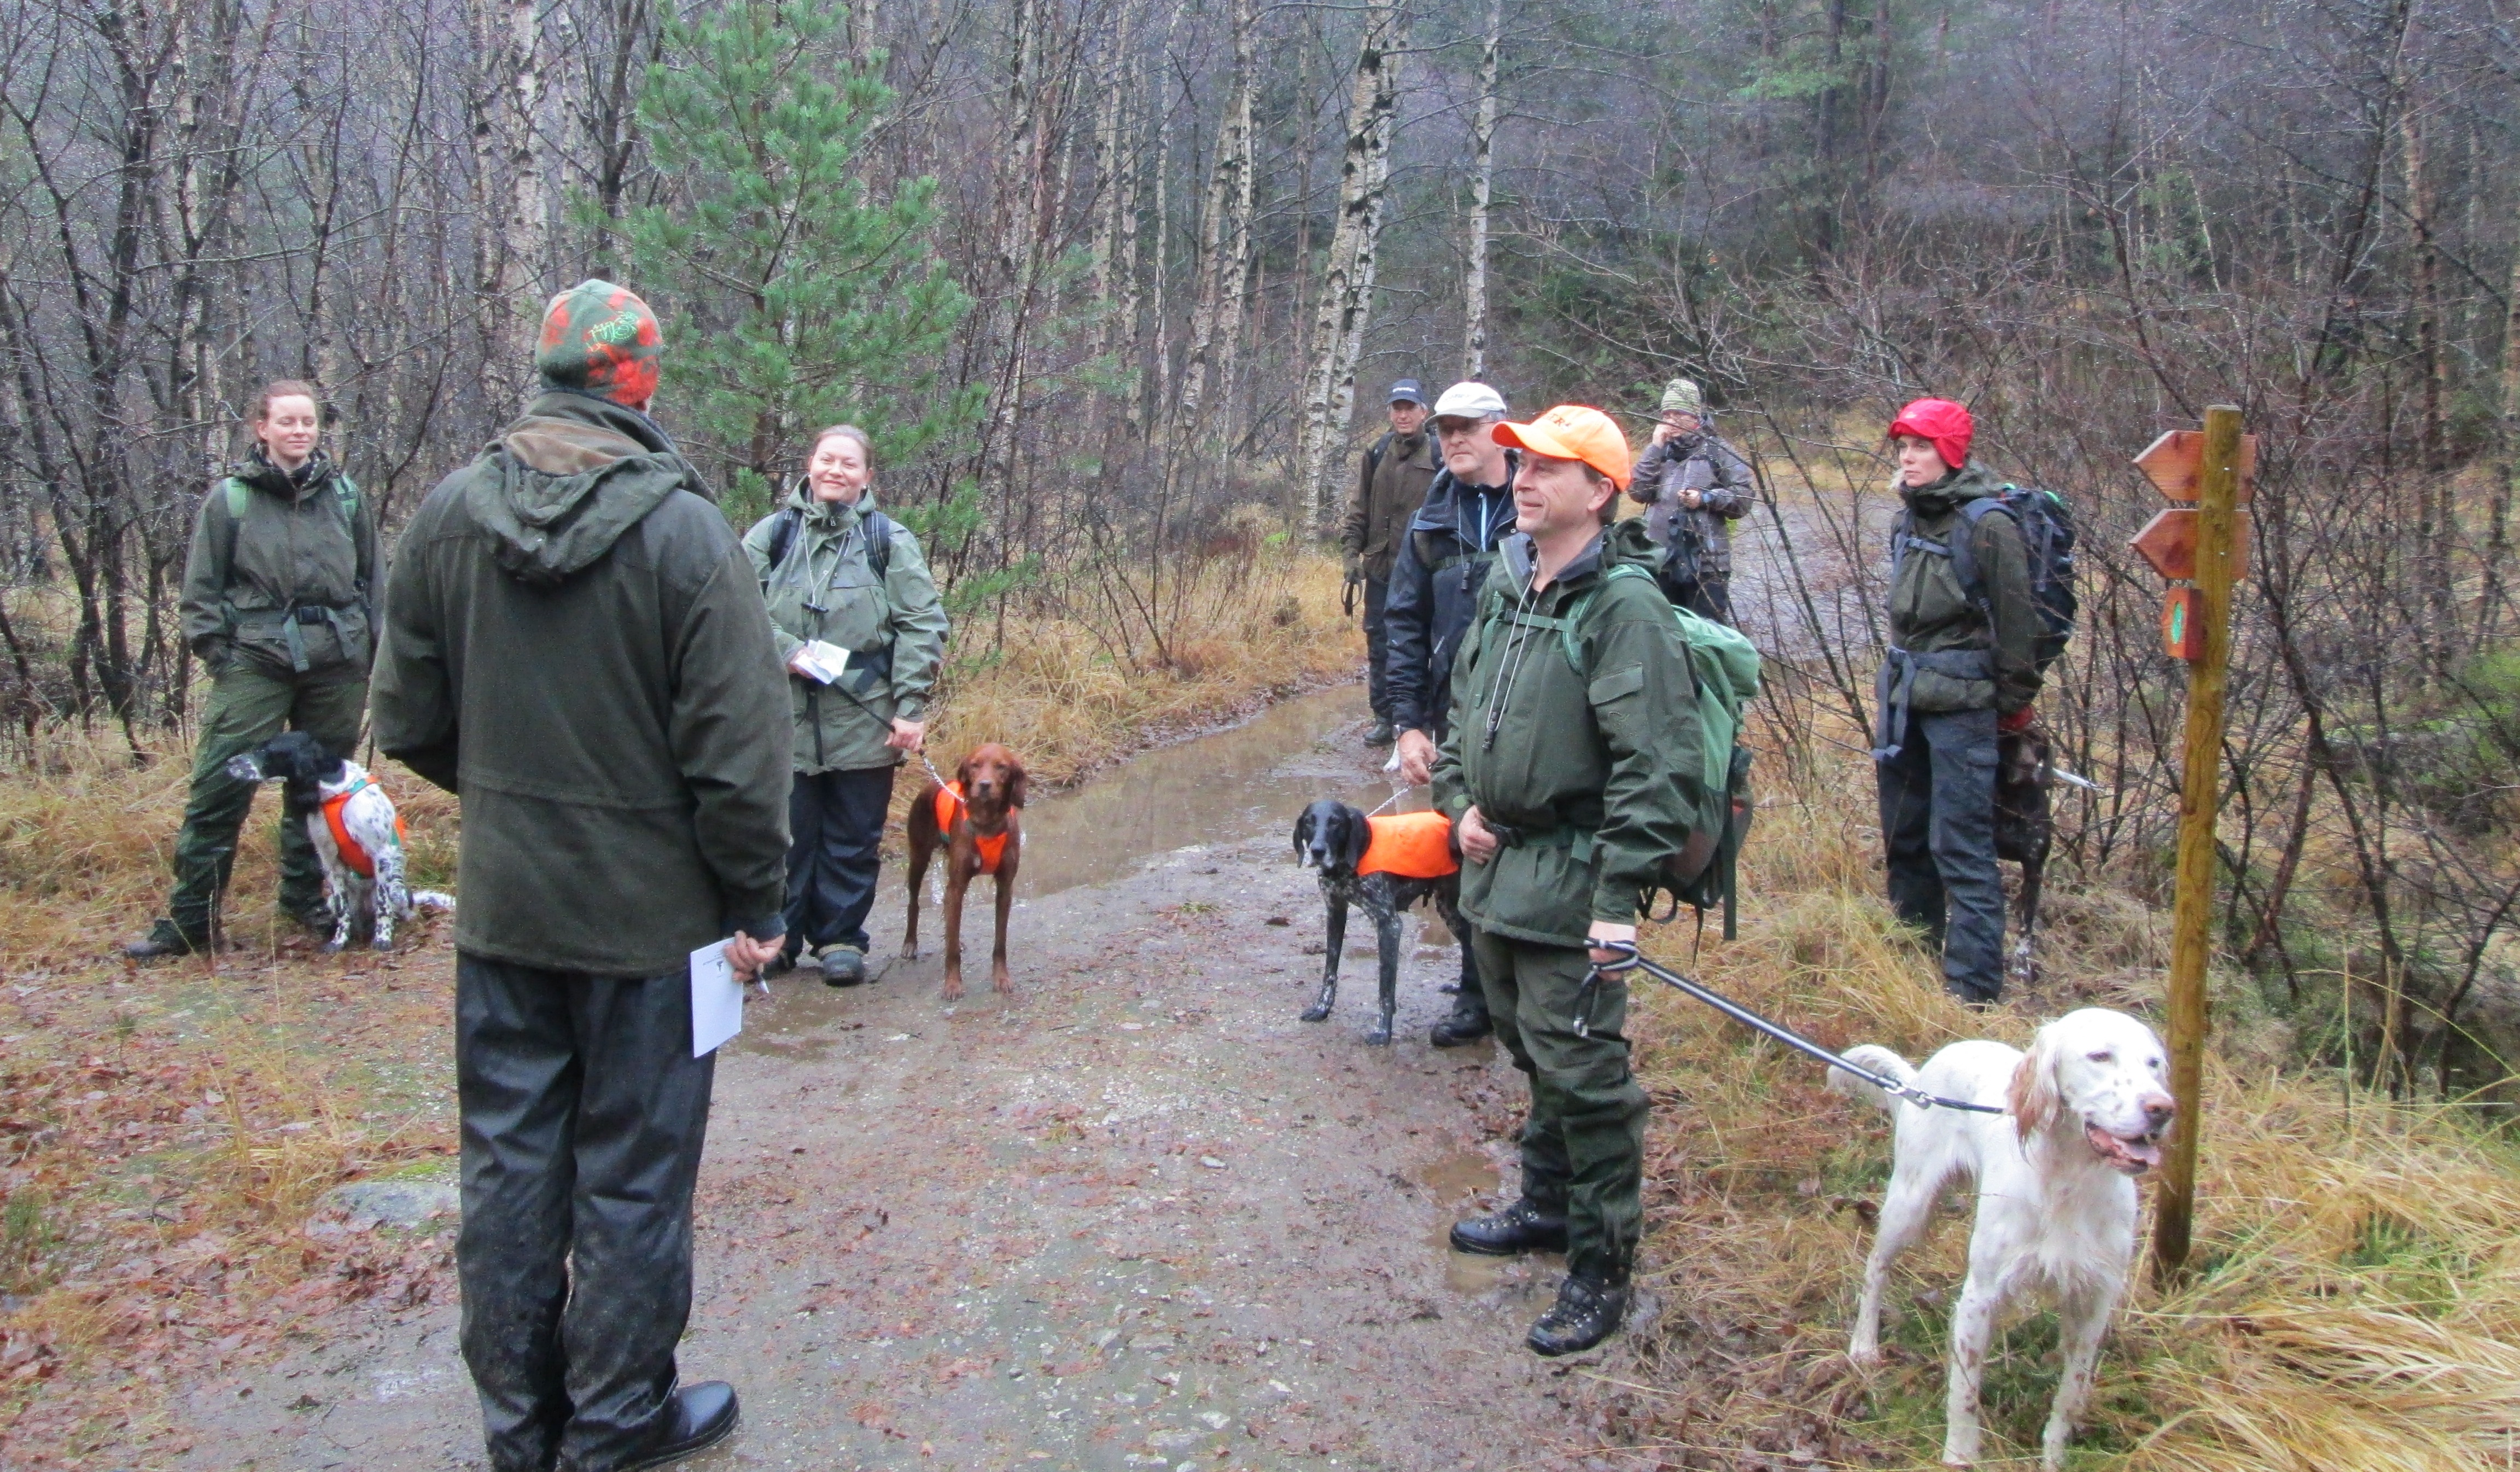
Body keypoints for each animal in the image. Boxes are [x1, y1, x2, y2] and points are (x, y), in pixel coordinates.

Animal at [228, 726, 453, 952]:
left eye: (266, 750)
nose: (230, 763)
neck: (334, 791)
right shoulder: (330, 860)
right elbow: (343, 908)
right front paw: (339, 941)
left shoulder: (381, 854)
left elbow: (384, 906)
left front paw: (383, 939)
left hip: (397, 891)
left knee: (401, 910)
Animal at [907, 746, 1023, 998]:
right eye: (975, 765)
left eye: (1001, 767)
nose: (985, 785)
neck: (987, 823)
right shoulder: (958, 884)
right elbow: (951, 950)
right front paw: (952, 984)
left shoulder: (1005, 887)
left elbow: (1000, 942)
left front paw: (1001, 978)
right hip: (919, 858)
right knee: (914, 902)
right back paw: (910, 943)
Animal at [1290, 806, 1472, 1048]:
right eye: (1309, 822)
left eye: (1336, 822)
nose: (1317, 851)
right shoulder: (1335, 913)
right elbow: (1330, 971)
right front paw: (1322, 1009)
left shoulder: (1389, 925)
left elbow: (1385, 988)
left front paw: (1382, 1032)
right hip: (1450, 911)